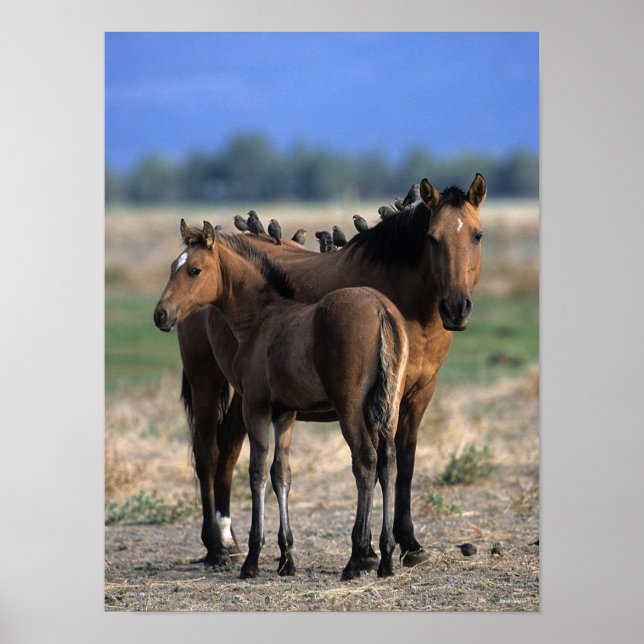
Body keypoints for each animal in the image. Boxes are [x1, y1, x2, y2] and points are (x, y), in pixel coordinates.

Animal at [154, 222, 409, 580]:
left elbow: (257, 471)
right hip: (388, 407)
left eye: (194, 270)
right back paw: (385, 557)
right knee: (388, 463)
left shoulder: (256, 407)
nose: (161, 315)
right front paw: (286, 556)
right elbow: (282, 473)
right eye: (171, 268)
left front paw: (252, 558)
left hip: (349, 407)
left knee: (365, 462)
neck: (260, 319)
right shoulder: (285, 413)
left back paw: (357, 557)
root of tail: (380, 308)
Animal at [174, 174, 486, 569]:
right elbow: (374, 463)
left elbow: (404, 462)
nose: (457, 308)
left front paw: (408, 543)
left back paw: (229, 538)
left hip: (247, 392)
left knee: (229, 446)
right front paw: (374, 548)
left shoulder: (417, 394)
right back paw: (215, 544)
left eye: (477, 235)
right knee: (207, 452)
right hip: (206, 379)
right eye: (432, 237)